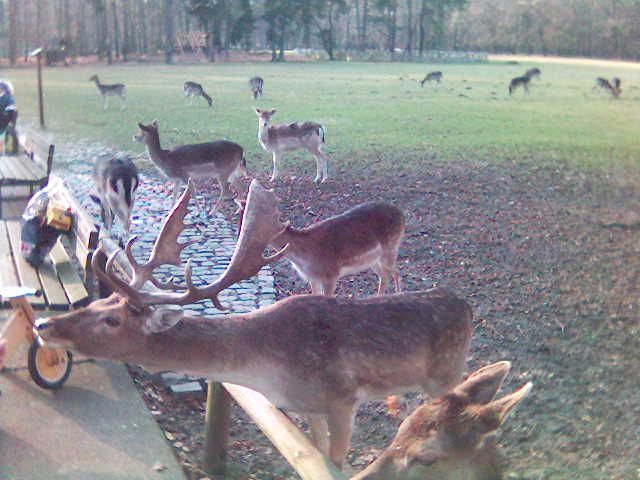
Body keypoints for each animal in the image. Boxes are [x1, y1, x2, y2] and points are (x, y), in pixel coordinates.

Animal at [238, 193, 408, 294]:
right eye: (242, 216)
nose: (244, 234)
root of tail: (401, 213)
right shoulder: (312, 278)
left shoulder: (331, 275)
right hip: (373, 260)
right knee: (388, 274)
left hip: (391, 248)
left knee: (392, 273)